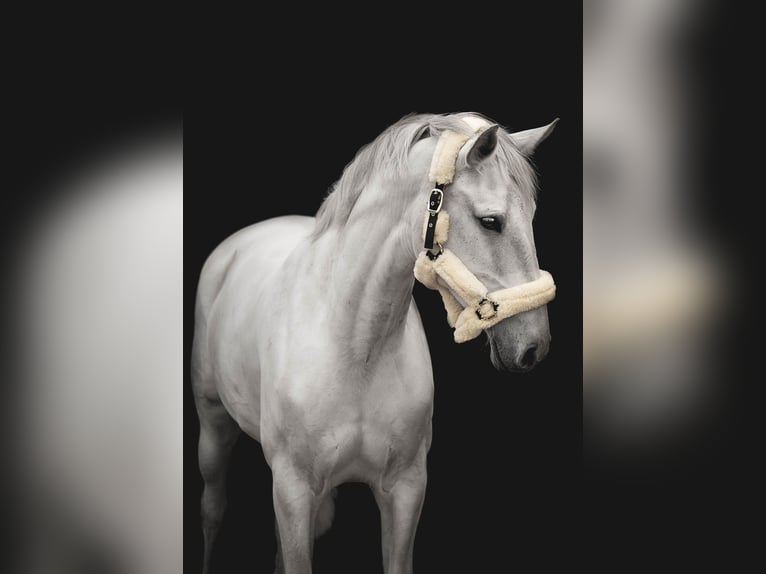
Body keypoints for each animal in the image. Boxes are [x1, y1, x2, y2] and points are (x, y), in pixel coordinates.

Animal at [191, 112, 557, 574]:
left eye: (532, 215)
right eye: (491, 221)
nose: (534, 347)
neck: (356, 348)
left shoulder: (405, 488)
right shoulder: (294, 488)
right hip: (213, 425)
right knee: (211, 509)